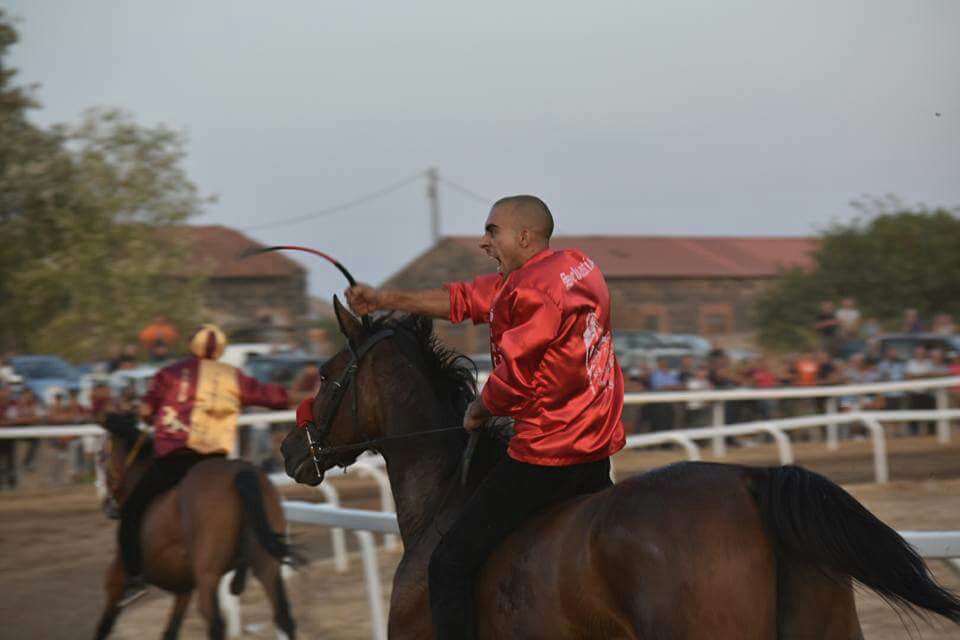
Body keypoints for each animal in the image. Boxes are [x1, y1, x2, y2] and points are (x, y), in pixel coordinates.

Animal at [96, 412, 296, 636]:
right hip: (266, 564)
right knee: (283, 616)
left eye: (100, 456)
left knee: (215, 624)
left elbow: (104, 625)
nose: (106, 504)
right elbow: (170, 631)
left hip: (208, 575)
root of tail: (241, 473)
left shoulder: (117, 579)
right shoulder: (183, 589)